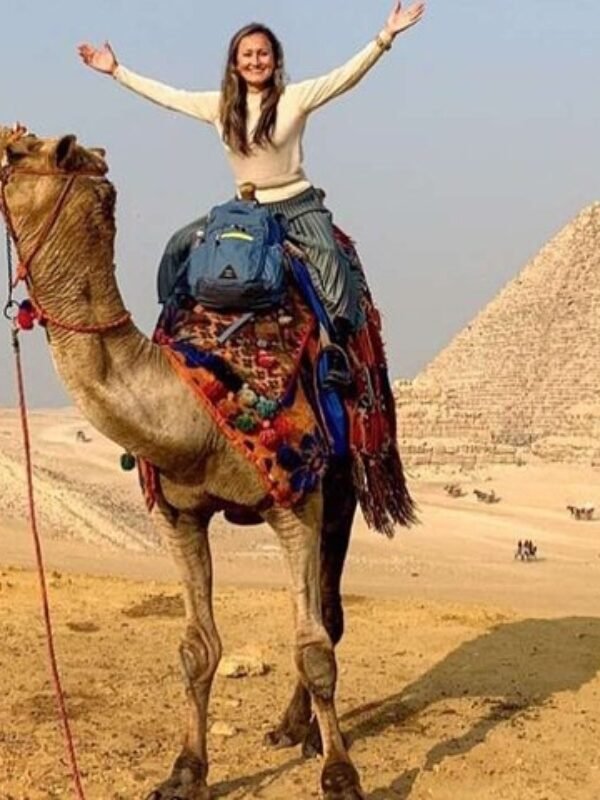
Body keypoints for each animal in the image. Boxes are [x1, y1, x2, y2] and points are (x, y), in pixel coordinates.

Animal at [0, 127, 412, 800]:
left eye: (12, 155)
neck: (196, 400)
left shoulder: (296, 502)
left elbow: (312, 645)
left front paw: (341, 773)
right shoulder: (177, 514)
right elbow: (197, 648)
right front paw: (185, 770)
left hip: (344, 485)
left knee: (327, 613)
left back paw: (303, 731)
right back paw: (291, 728)